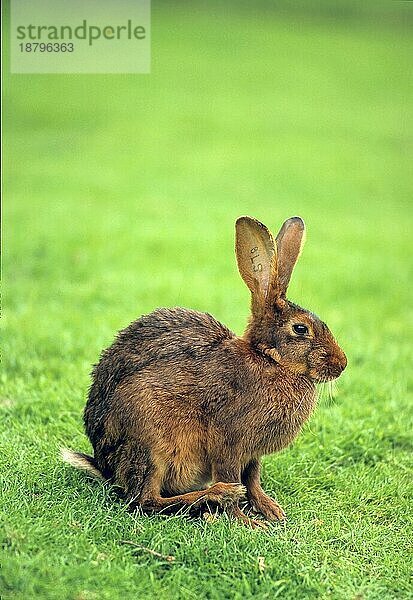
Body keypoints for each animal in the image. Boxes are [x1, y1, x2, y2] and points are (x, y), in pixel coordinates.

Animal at [62, 216, 344, 524]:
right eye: (301, 329)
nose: (342, 364)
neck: (269, 360)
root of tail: (106, 467)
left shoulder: (252, 453)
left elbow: (253, 479)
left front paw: (271, 510)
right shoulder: (228, 442)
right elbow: (234, 476)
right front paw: (246, 521)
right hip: (152, 443)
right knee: (145, 501)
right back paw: (214, 495)